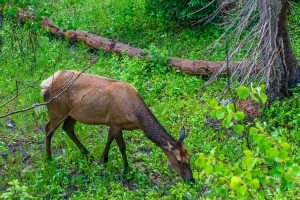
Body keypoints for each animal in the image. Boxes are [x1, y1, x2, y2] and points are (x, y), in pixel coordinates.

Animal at [40, 70, 195, 181]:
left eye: (189, 157)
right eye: (179, 161)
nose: (191, 180)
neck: (135, 118)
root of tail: (44, 84)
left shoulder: (113, 123)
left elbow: (109, 139)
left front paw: (104, 158)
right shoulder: (115, 122)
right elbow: (122, 147)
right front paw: (125, 170)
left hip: (71, 114)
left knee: (68, 128)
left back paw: (87, 154)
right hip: (57, 110)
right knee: (48, 129)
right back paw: (48, 158)